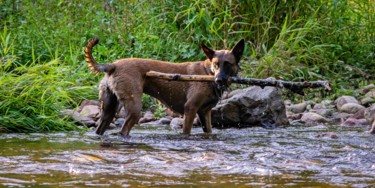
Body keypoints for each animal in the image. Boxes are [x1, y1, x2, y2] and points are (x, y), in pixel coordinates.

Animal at [83, 38, 245, 136]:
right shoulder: (190, 109)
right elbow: (186, 132)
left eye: (227, 64)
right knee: (123, 131)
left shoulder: (205, 113)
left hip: (108, 110)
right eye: (216, 64)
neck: (208, 73)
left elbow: (209, 131)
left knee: (100, 128)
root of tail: (113, 65)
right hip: (134, 108)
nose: (219, 80)